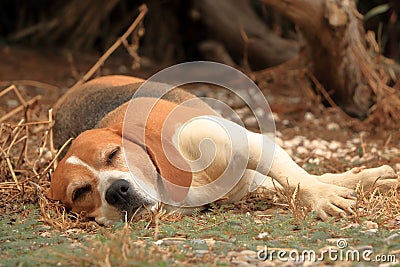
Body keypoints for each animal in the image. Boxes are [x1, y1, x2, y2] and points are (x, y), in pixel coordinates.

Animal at [47, 75, 400, 226]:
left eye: (112, 154)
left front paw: (324, 197)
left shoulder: (248, 142)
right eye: (80, 193)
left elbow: (300, 180)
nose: (117, 191)